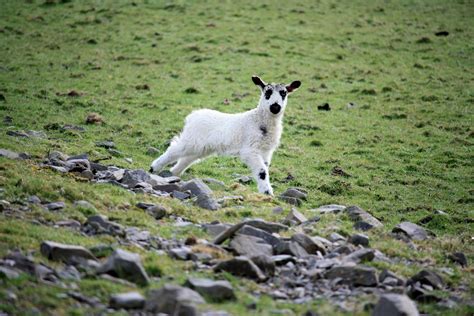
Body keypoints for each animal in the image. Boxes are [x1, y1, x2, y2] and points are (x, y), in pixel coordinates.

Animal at [150, 76, 302, 195]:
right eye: (267, 92)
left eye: (284, 93)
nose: (275, 107)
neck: (259, 120)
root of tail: (193, 116)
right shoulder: (250, 149)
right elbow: (262, 171)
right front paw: (267, 192)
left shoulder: (265, 151)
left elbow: (264, 169)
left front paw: (265, 190)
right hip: (191, 140)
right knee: (174, 149)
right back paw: (153, 168)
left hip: (201, 148)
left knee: (186, 159)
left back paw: (173, 173)